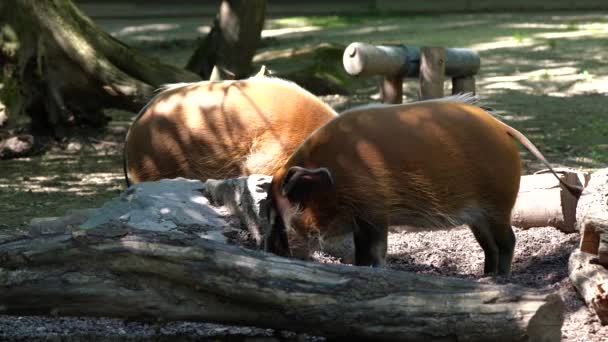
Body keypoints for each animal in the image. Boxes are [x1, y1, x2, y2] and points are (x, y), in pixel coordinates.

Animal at [266, 95, 580, 276]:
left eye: (282, 210)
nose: (272, 252)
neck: (334, 178)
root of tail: (502, 127)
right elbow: (364, 252)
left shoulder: (374, 212)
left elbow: (373, 252)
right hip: (478, 217)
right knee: (489, 246)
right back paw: (486, 277)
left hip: (498, 206)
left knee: (508, 241)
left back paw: (501, 279)